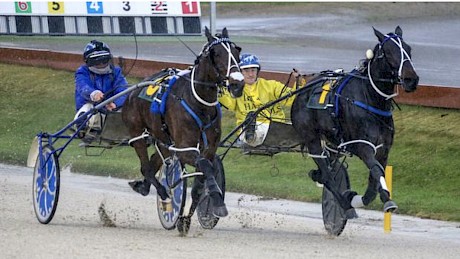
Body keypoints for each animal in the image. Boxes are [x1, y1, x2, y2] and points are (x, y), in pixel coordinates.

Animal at [121, 27, 244, 219]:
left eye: (237, 51)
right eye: (216, 53)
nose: (238, 84)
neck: (198, 102)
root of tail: (132, 91)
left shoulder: (209, 148)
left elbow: (203, 174)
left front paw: (190, 215)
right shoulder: (185, 149)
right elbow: (205, 166)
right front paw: (218, 203)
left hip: (163, 139)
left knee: (154, 162)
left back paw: (144, 186)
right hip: (137, 132)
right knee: (146, 167)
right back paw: (164, 194)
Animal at [292, 26, 418, 215]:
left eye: (408, 49)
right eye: (388, 52)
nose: (411, 79)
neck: (370, 98)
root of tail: (300, 92)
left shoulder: (383, 149)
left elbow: (374, 182)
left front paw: (362, 198)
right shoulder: (362, 146)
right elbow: (376, 169)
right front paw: (386, 201)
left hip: (333, 144)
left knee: (328, 168)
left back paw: (318, 176)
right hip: (312, 139)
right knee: (327, 175)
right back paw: (343, 202)